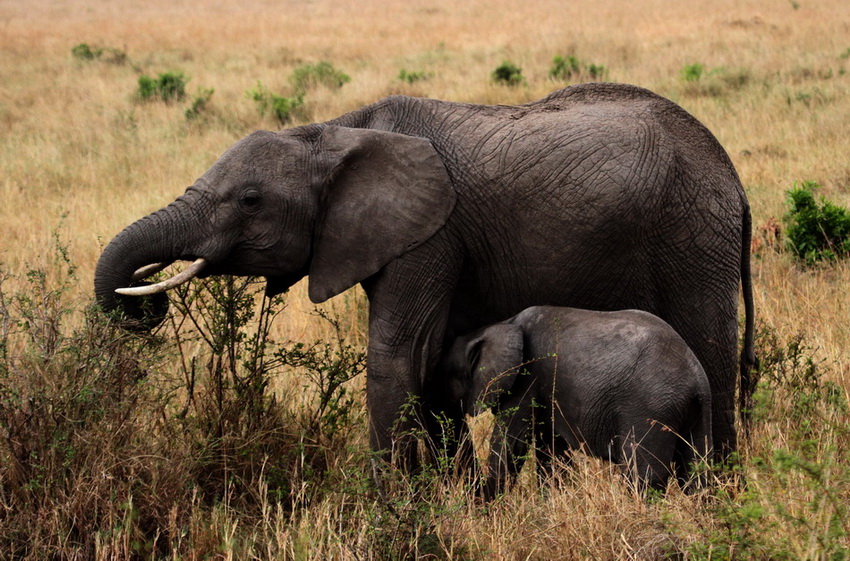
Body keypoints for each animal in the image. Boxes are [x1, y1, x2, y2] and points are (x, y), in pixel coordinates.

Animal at [96, 83, 752, 466]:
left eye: (251, 200)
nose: (143, 303)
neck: (334, 130)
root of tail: (733, 178)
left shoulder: (432, 232)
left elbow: (398, 354)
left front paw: (390, 513)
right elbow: (433, 361)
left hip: (693, 235)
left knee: (711, 350)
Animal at [440, 304, 712, 496]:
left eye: (446, 375)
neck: (501, 326)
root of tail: (696, 379)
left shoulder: (527, 379)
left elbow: (511, 443)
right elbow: (552, 450)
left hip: (650, 409)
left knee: (644, 476)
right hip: (698, 410)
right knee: (696, 472)